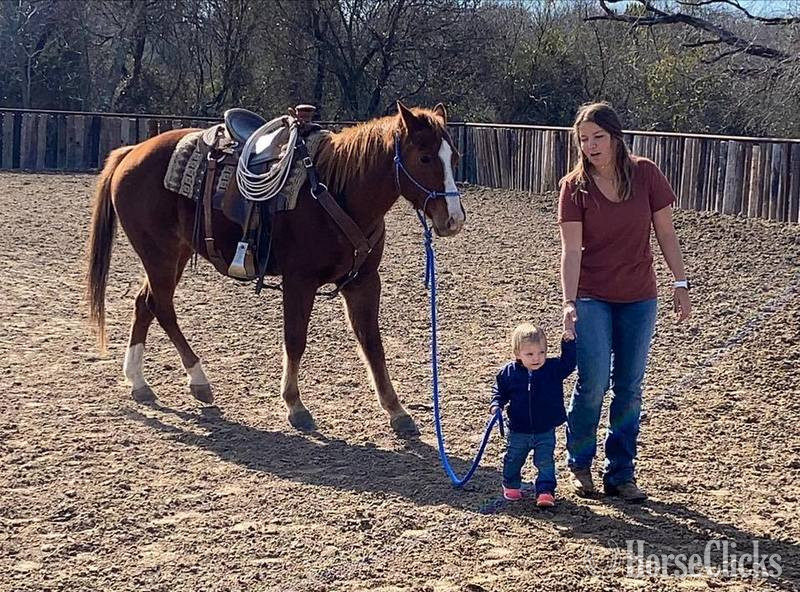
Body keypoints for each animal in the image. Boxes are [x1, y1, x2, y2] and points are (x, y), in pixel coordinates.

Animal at [85, 102, 465, 436]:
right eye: (425, 157)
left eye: (454, 158)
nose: (454, 219)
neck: (337, 190)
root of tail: (132, 152)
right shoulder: (300, 281)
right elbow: (295, 340)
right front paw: (295, 406)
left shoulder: (365, 281)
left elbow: (372, 343)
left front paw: (396, 411)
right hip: (159, 253)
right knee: (161, 306)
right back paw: (199, 381)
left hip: (173, 253)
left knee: (144, 303)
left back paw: (139, 382)